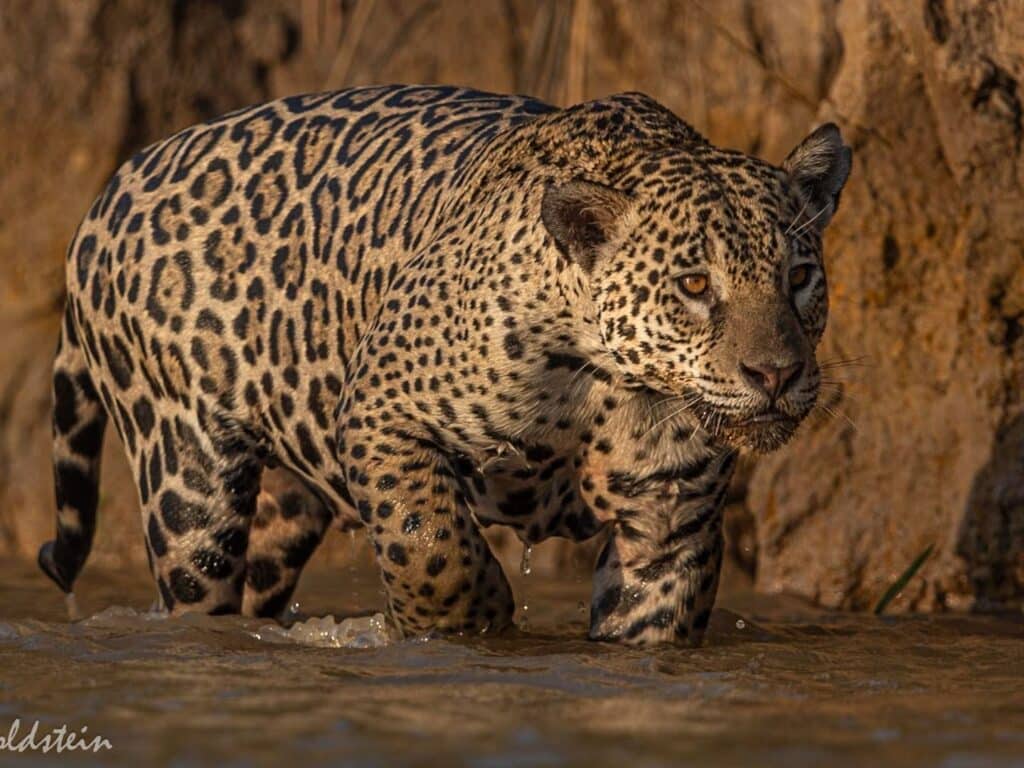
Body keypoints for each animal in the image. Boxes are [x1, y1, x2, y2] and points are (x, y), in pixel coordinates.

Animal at [39, 84, 851, 646]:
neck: (605, 377)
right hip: (186, 481)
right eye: (694, 286)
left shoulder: (666, 514)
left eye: (798, 277)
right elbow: (431, 542)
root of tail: (110, 191)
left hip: (284, 504)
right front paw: (467, 622)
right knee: (196, 590)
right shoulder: (381, 409)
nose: (776, 375)